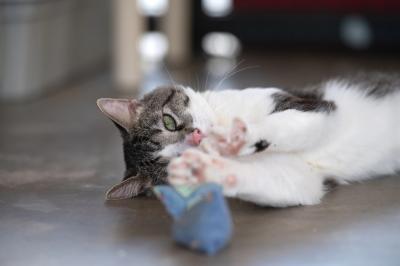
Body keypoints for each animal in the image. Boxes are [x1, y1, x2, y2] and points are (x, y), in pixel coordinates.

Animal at [97, 72, 400, 208]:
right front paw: (210, 171)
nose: (197, 138)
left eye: (169, 121)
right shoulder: (301, 175)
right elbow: (279, 183)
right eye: (174, 160)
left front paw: (239, 135)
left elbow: (288, 122)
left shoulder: (316, 107)